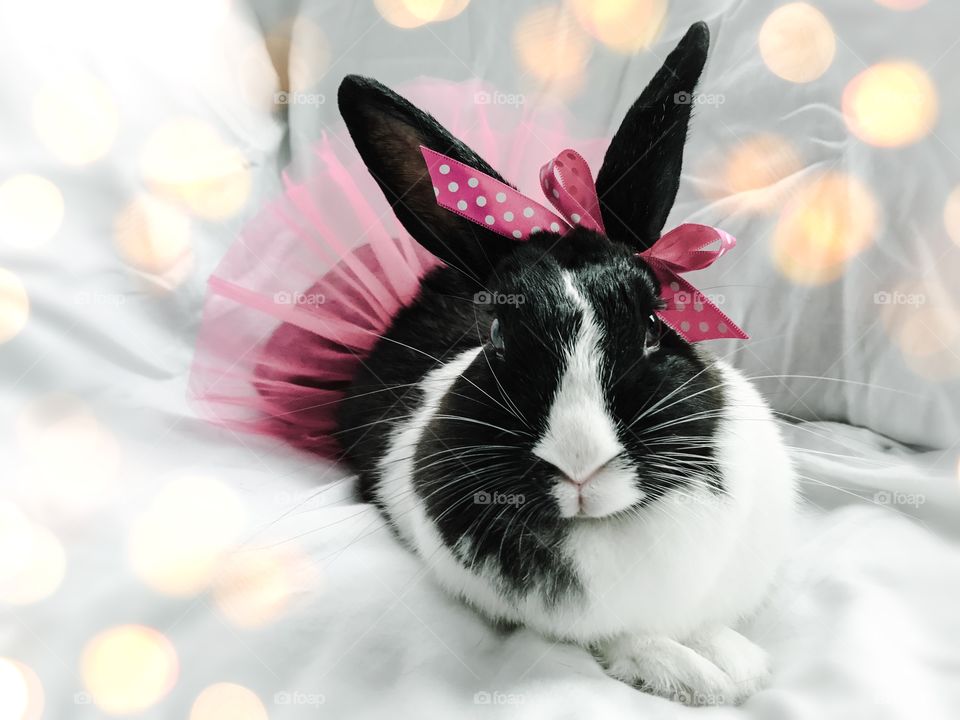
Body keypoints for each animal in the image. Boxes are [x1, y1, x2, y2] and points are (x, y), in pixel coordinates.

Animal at [334, 22, 796, 706]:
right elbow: (621, 635)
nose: (580, 464)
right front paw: (694, 674)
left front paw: (737, 662)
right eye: (497, 334)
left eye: (654, 325)